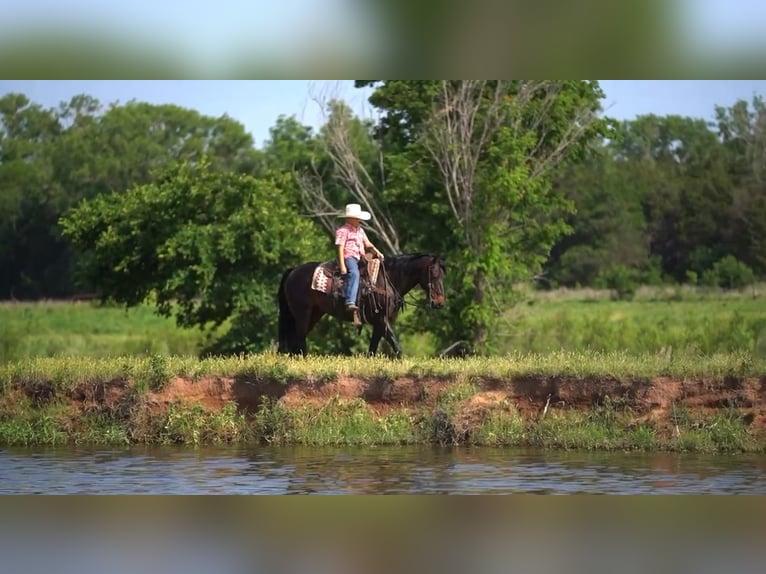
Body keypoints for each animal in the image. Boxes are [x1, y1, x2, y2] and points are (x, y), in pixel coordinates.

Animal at [278, 254, 448, 358]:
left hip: (313, 315)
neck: (386, 280)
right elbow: (396, 345)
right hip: (302, 314)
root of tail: (293, 271)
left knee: (296, 340)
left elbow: (373, 348)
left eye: (442, 276)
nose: (439, 302)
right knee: (299, 339)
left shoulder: (379, 323)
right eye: (434, 274)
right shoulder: (381, 319)